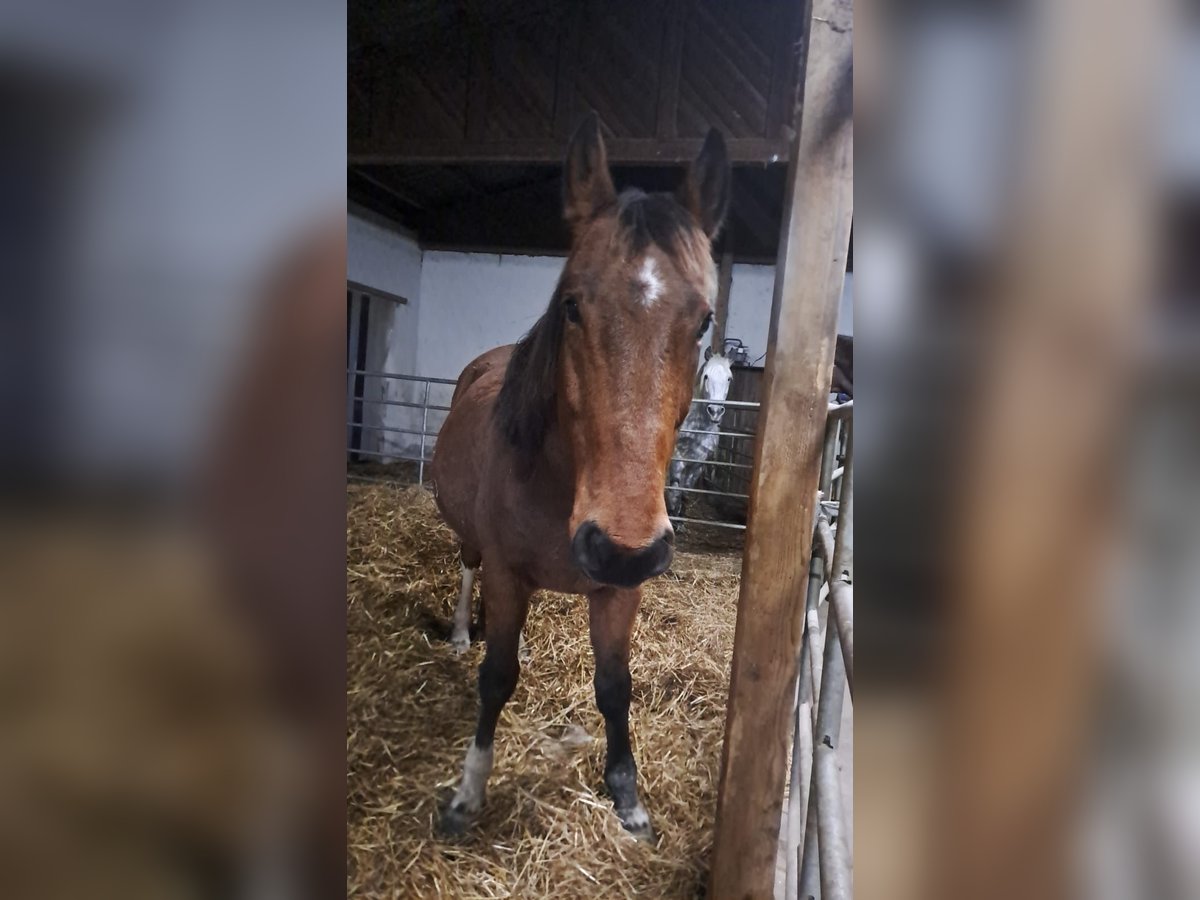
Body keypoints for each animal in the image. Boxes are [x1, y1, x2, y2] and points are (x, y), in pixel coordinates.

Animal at [432, 116, 729, 844]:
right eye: (570, 305)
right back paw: (460, 634)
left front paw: (628, 798)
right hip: (475, 547)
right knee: (467, 573)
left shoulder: (620, 590)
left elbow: (614, 686)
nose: (617, 545)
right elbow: (495, 677)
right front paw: (467, 796)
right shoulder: (508, 572)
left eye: (704, 321)